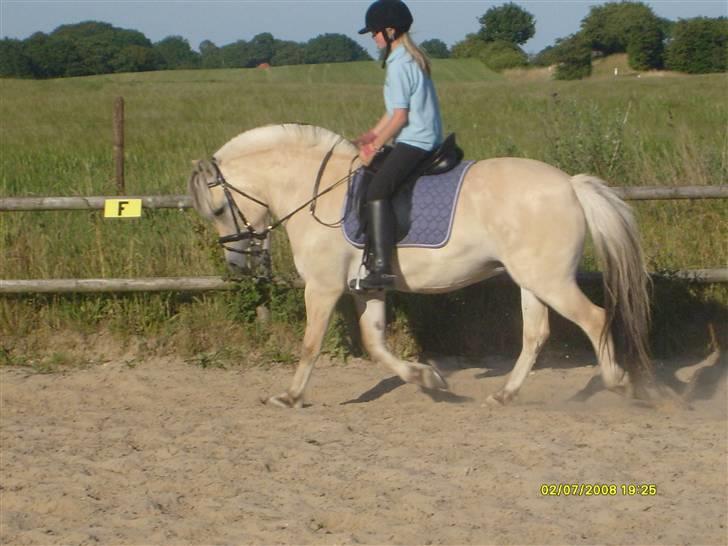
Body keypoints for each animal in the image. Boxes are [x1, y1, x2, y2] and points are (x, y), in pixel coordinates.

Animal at [191, 122, 652, 404]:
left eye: (218, 210)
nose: (237, 263)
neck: (317, 191)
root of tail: (571, 186)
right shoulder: (369, 286)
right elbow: (375, 344)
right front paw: (430, 379)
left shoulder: (323, 287)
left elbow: (310, 344)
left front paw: (289, 397)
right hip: (532, 280)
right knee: (536, 334)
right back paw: (504, 395)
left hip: (550, 280)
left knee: (595, 318)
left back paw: (618, 384)